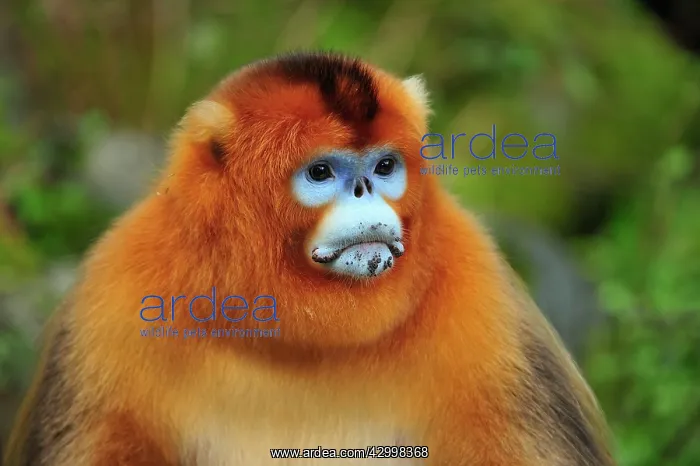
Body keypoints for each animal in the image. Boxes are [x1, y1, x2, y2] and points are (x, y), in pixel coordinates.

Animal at [3, 51, 615, 466]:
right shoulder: (114, 300)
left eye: (385, 166)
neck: (298, 345)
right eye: (321, 172)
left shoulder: (484, 302)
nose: (366, 190)